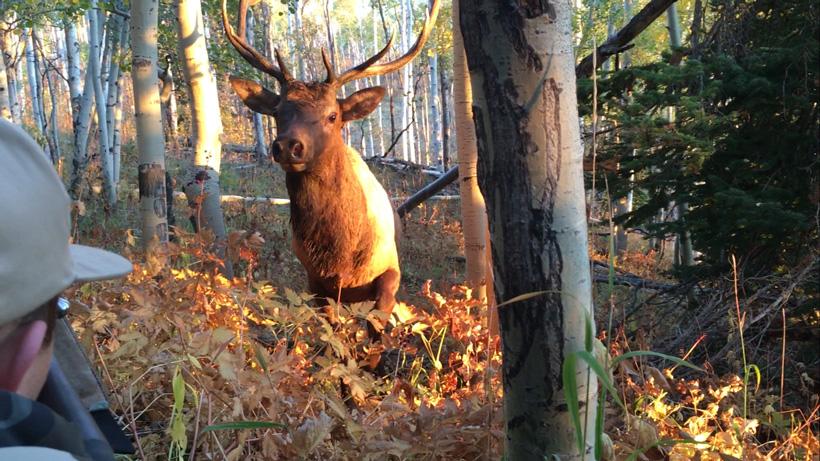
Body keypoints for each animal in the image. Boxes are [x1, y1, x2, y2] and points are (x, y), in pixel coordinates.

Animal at [222, 0, 440, 335]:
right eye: (277, 111)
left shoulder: (390, 270)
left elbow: (377, 328)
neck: (340, 256)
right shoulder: (315, 282)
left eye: (332, 115)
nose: (288, 145)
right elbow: (332, 334)